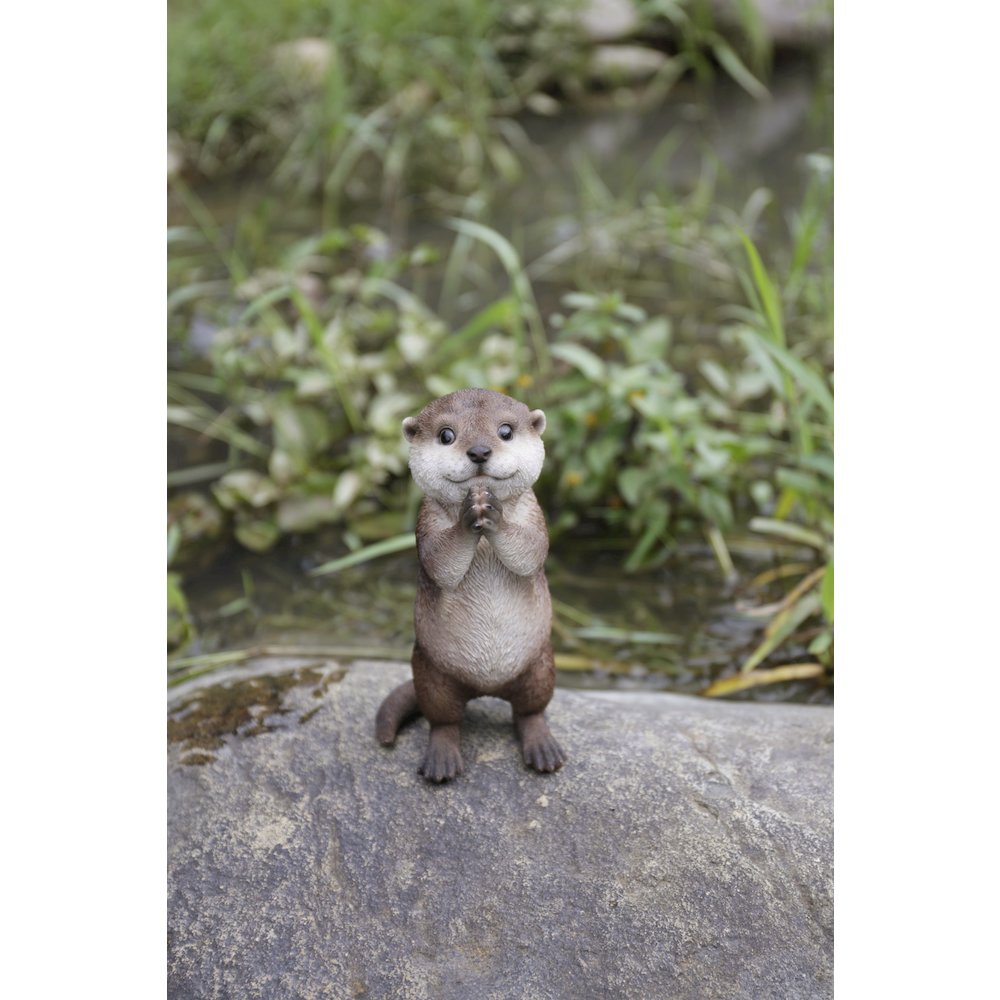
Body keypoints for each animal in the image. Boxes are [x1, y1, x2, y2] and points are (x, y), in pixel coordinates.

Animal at [375, 388, 566, 783]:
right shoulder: (426, 522)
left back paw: (543, 748)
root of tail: (486, 687)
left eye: (505, 431)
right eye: (447, 435)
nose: (479, 451)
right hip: (431, 674)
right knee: (444, 720)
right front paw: (469, 515)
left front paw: (492, 513)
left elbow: (531, 552)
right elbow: (439, 563)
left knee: (530, 711)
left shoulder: (535, 515)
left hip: (540, 667)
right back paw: (442, 760)